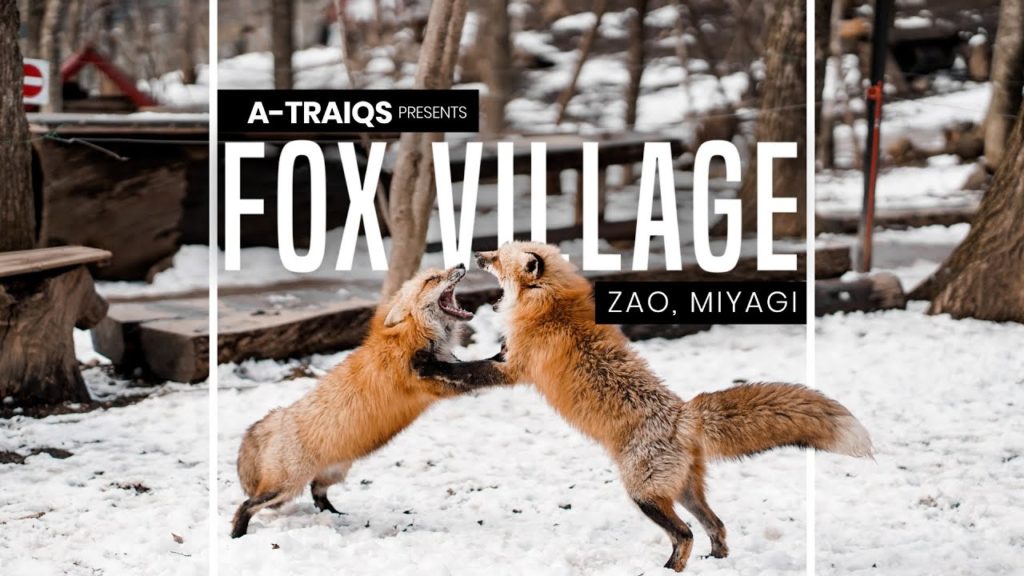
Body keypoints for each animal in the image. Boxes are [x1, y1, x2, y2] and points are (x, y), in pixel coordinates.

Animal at [231, 264, 502, 538]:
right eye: (432, 279)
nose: (460, 265)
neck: (418, 335)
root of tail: (279, 415)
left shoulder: (446, 369)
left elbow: (470, 367)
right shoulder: (431, 382)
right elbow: (477, 371)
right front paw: (501, 361)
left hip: (334, 472)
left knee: (317, 493)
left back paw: (336, 516)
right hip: (285, 488)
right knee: (247, 505)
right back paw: (237, 534)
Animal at [413, 242, 873, 572]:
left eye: (497, 256)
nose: (475, 254)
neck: (551, 306)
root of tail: (684, 415)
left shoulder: (513, 368)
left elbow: (466, 370)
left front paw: (426, 363)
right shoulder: (509, 358)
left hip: (642, 493)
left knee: (685, 534)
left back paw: (667, 569)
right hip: (683, 491)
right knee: (716, 526)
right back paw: (717, 562)